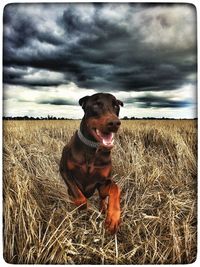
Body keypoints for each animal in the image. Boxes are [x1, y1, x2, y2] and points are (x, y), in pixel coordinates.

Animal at [59, 92, 123, 234]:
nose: (114, 123)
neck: (92, 150)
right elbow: (79, 196)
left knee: (103, 197)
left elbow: (115, 188)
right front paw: (82, 208)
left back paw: (103, 209)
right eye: (96, 105)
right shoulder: (65, 171)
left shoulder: (104, 181)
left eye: (116, 106)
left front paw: (113, 217)